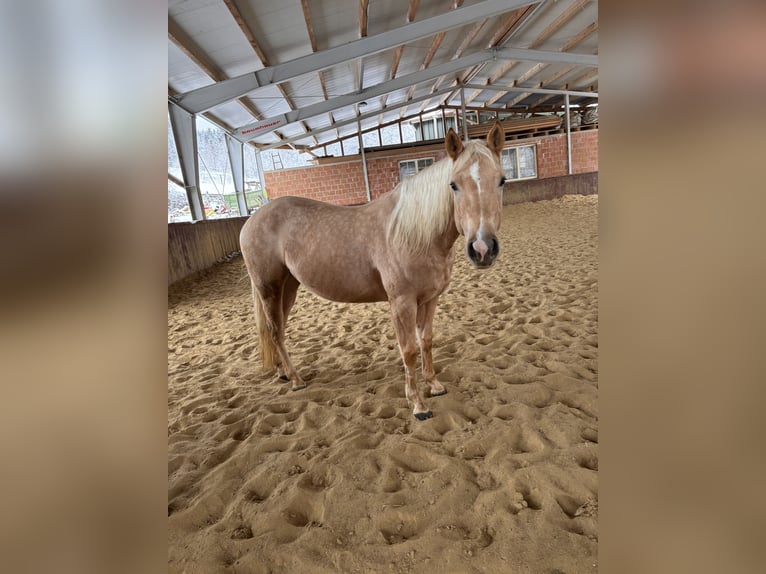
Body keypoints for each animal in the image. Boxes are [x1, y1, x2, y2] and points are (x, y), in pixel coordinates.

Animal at [240, 123, 507, 420]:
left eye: (501, 180)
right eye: (454, 184)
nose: (482, 248)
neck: (414, 234)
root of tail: (252, 219)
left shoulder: (430, 299)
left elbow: (426, 341)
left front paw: (435, 386)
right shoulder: (402, 303)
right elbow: (409, 350)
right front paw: (418, 405)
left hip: (289, 287)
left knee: (277, 330)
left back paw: (283, 373)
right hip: (269, 288)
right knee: (275, 330)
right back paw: (296, 380)